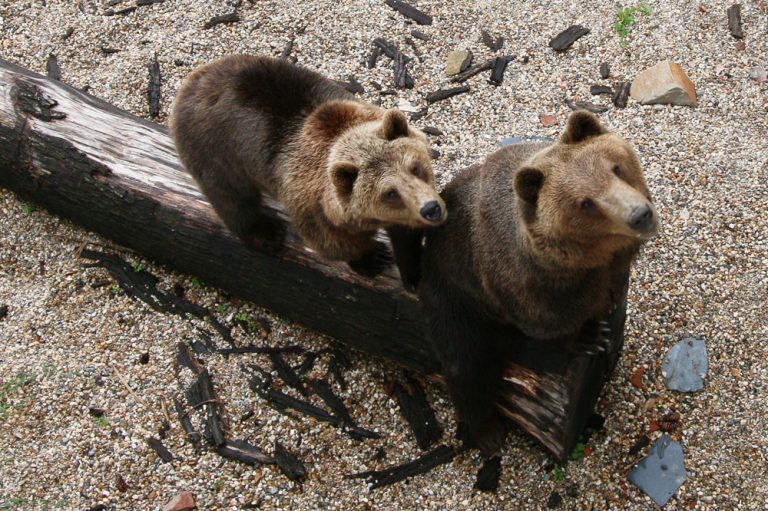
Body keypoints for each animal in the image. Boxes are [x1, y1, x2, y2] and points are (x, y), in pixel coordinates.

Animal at [168, 55, 444, 280]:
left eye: (415, 168)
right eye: (390, 193)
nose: (431, 209)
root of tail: (193, 81)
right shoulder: (312, 203)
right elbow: (332, 241)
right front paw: (373, 257)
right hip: (216, 152)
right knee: (234, 200)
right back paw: (267, 233)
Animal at [414, 111, 660, 456]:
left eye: (616, 168)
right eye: (586, 203)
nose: (640, 215)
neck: (588, 261)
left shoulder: (611, 265)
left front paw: (609, 303)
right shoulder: (523, 286)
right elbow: (546, 323)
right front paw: (589, 335)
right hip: (451, 294)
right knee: (465, 363)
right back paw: (487, 431)